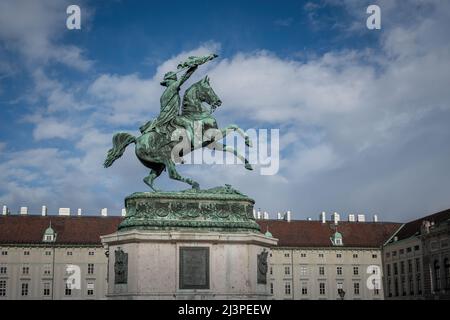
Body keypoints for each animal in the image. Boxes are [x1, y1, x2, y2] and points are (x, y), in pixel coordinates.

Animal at [103, 75, 255, 191]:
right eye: (208, 89)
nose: (218, 101)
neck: (197, 115)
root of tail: (137, 140)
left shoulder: (210, 143)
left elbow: (230, 148)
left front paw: (247, 163)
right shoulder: (208, 138)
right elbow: (233, 126)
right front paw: (249, 142)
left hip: (158, 165)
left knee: (148, 179)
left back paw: (159, 192)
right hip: (164, 158)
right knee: (172, 174)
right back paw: (193, 185)